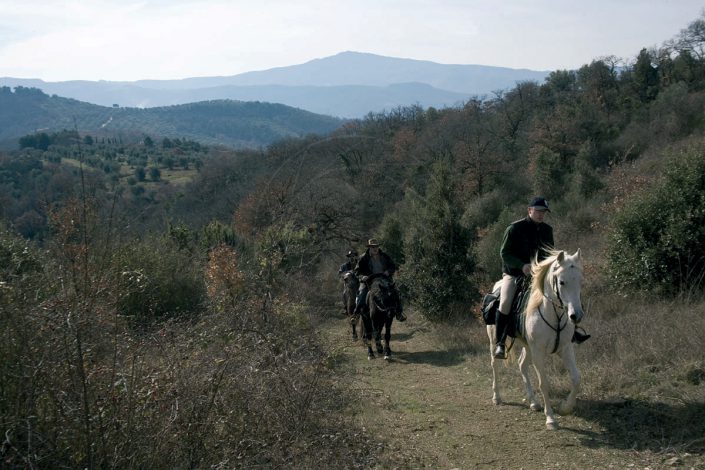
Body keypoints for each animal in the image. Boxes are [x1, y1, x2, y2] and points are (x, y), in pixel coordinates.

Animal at [487, 249, 584, 430]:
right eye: (561, 282)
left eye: (580, 281)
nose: (576, 316)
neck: (553, 315)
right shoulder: (539, 352)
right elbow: (543, 383)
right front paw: (551, 419)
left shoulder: (565, 349)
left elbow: (576, 378)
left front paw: (565, 408)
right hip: (494, 341)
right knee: (495, 364)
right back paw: (497, 397)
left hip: (528, 347)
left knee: (522, 365)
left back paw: (533, 402)